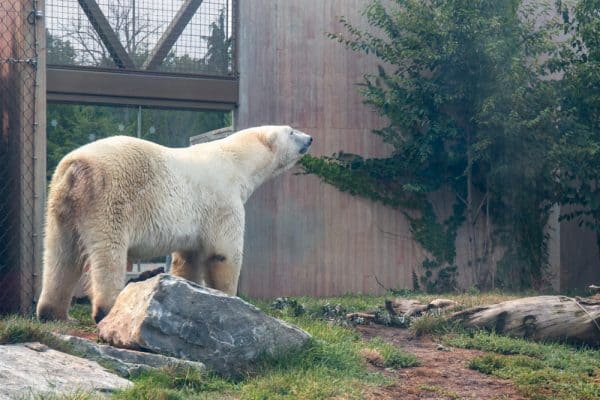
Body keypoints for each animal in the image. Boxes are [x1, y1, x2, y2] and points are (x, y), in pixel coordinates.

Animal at [36, 125, 314, 322]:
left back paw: (52, 313)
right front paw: (229, 298)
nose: (310, 138)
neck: (237, 161)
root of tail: (77, 168)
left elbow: (188, 258)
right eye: (291, 130)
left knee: (61, 255)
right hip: (109, 200)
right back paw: (107, 310)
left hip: (60, 203)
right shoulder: (223, 199)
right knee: (108, 254)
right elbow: (224, 253)